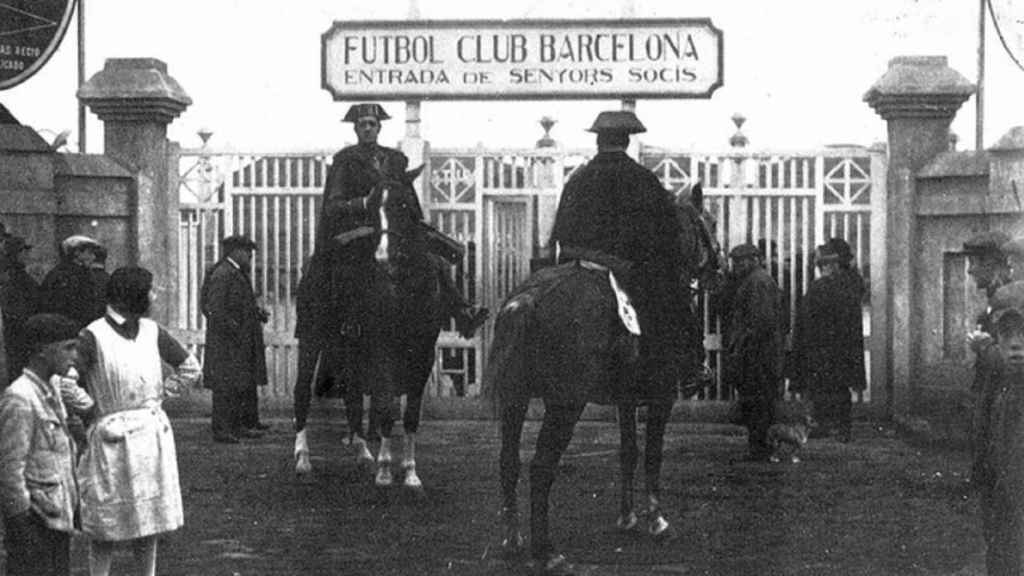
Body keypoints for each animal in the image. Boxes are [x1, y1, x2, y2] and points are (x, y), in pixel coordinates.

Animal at [292, 168, 444, 485]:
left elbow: (411, 413)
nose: (384, 256)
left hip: (349, 347)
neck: (404, 285)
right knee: (302, 392)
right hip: (312, 336)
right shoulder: (383, 348)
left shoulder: (423, 354)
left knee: (351, 394)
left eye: (403, 204)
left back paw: (363, 453)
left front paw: (410, 472)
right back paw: (303, 458)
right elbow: (385, 405)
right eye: (372, 209)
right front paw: (385, 471)